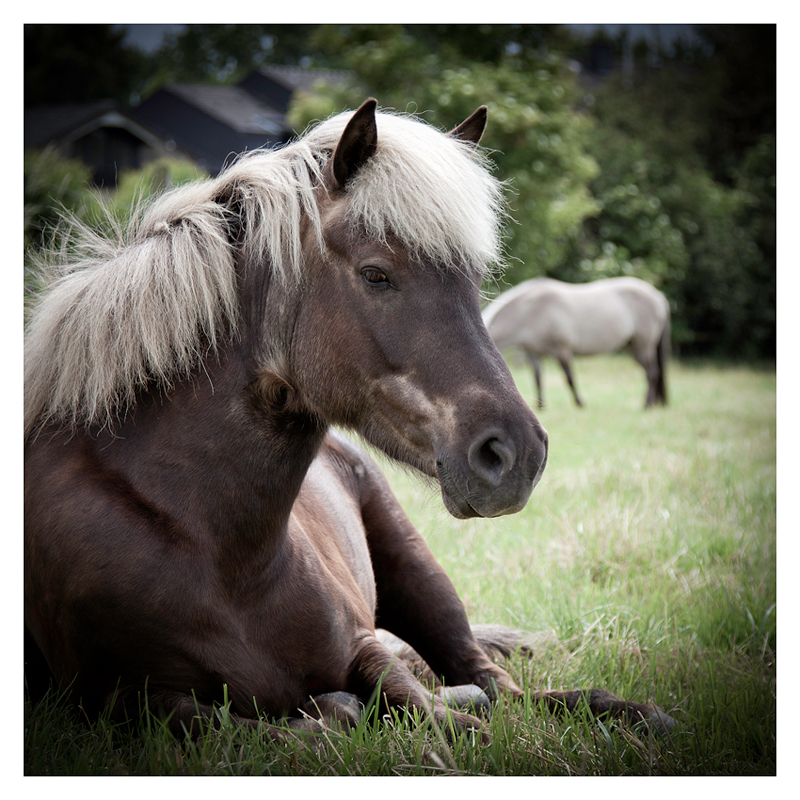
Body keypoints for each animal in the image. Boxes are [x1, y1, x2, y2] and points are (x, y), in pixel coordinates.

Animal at [484, 278, 672, 410]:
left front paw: (580, 403)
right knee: (650, 373)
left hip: (643, 346)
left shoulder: (562, 351)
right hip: (633, 346)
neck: (529, 310)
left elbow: (569, 379)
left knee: (652, 373)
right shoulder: (533, 353)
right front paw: (540, 405)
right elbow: (538, 379)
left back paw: (647, 405)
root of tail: (658, 296)